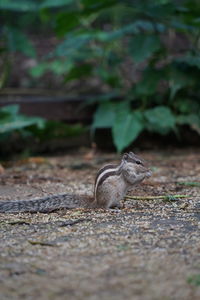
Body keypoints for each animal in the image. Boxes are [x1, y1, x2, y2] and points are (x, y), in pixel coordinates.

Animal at [0, 152, 152, 213]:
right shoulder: (127, 174)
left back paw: (120, 205)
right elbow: (132, 180)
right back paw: (111, 209)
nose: (148, 167)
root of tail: (95, 201)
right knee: (103, 207)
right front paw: (146, 174)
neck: (125, 166)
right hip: (109, 195)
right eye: (138, 162)